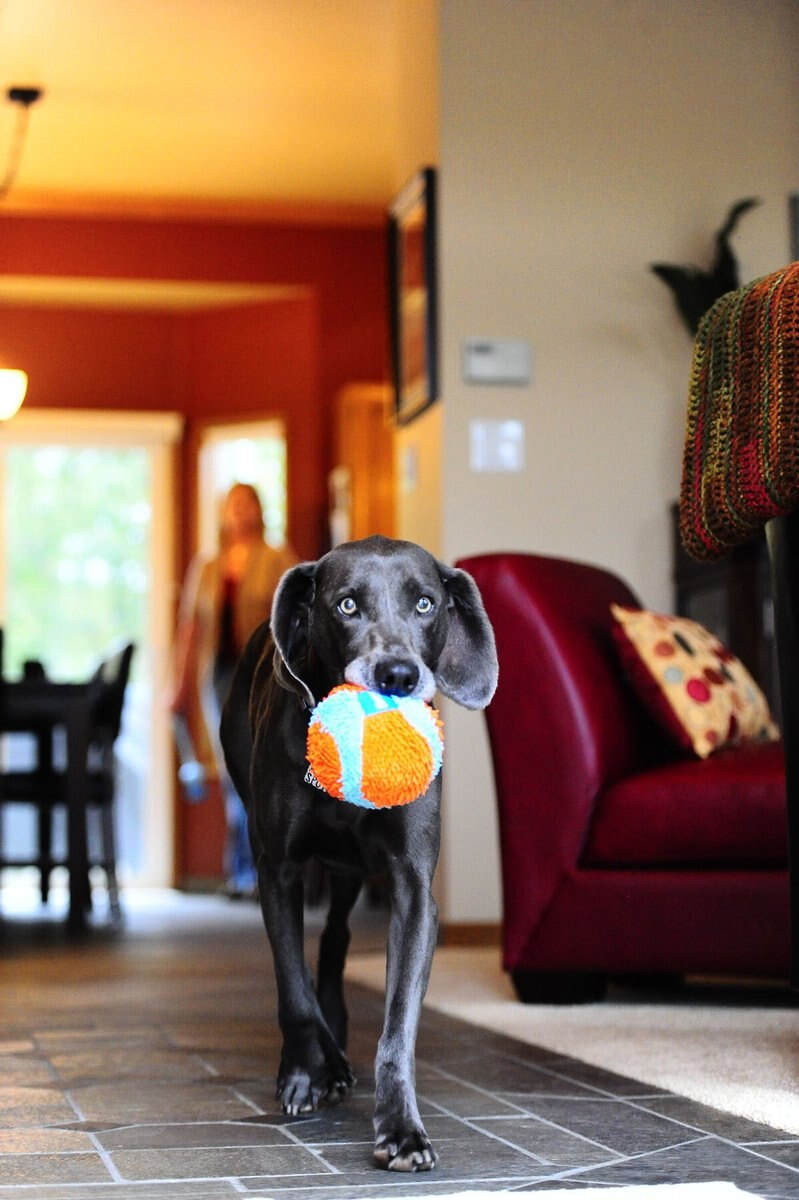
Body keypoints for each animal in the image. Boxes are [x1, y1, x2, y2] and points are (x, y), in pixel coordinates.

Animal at [221, 535, 499, 1171]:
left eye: (425, 604)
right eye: (347, 605)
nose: (397, 674)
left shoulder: (414, 890)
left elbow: (398, 1026)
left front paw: (402, 1130)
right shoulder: (278, 872)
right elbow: (293, 991)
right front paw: (303, 1075)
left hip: (350, 872)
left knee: (336, 938)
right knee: (305, 968)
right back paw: (326, 1061)